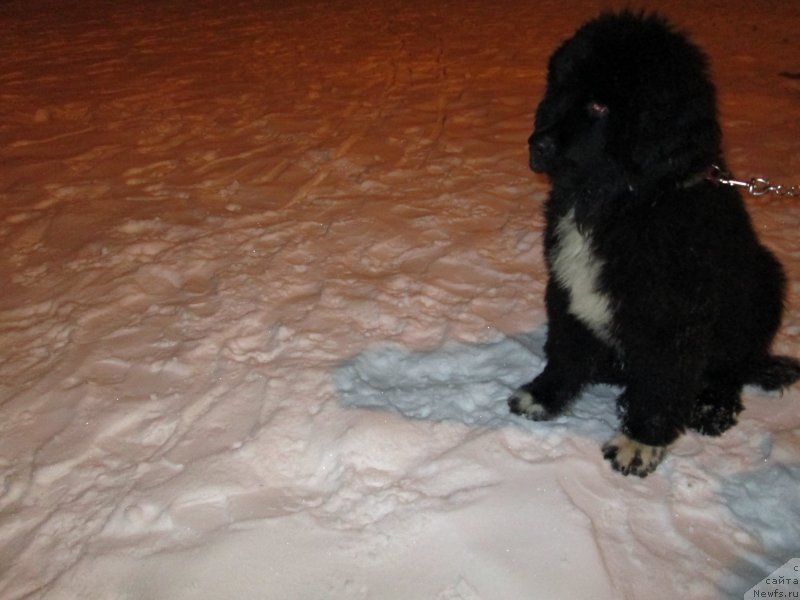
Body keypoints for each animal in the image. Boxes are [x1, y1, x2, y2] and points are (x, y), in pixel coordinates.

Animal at [510, 11, 800, 476]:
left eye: (599, 106)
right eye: (560, 89)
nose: (537, 145)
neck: (620, 202)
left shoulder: (672, 314)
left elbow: (662, 383)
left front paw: (640, 441)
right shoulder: (566, 287)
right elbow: (566, 348)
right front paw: (545, 395)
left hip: (765, 282)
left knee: (730, 369)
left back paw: (712, 407)